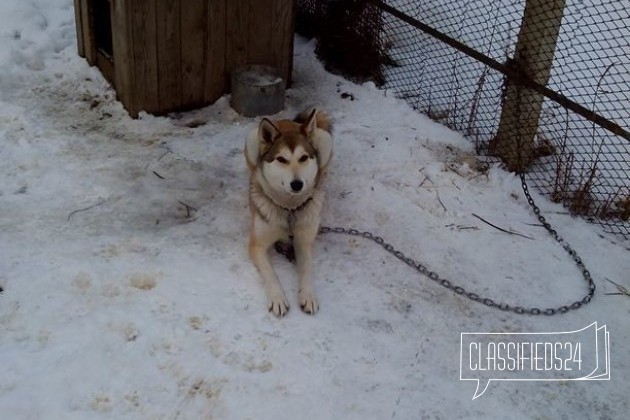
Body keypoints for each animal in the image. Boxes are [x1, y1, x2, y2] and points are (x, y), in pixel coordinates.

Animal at [246, 107, 336, 316]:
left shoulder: (304, 240)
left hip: (325, 140)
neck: (289, 210)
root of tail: (289, 121)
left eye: (303, 158)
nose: (297, 184)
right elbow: (270, 272)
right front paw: (278, 298)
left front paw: (308, 295)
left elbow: (307, 268)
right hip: (251, 139)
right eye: (281, 159)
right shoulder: (257, 245)